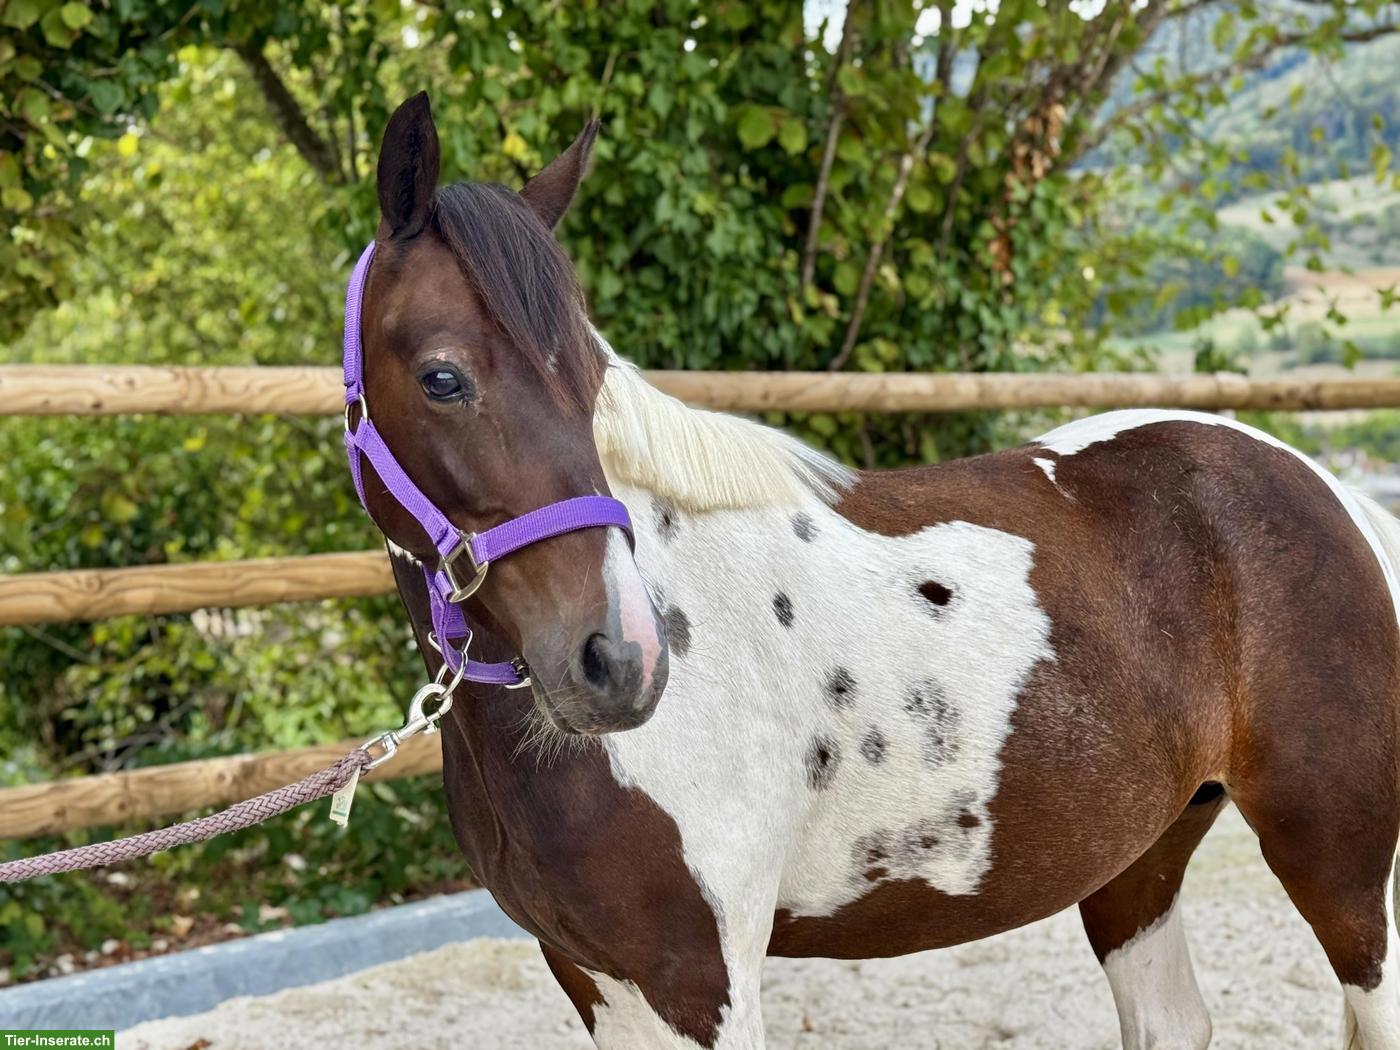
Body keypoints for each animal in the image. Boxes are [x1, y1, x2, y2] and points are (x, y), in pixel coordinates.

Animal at [347, 91, 1400, 1049]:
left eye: (593, 383)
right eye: (442, 377)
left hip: (1345, 867)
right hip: (1141, 860)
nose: (622, 661)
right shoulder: (596, 976)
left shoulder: (697, 979)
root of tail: (1328, 490)